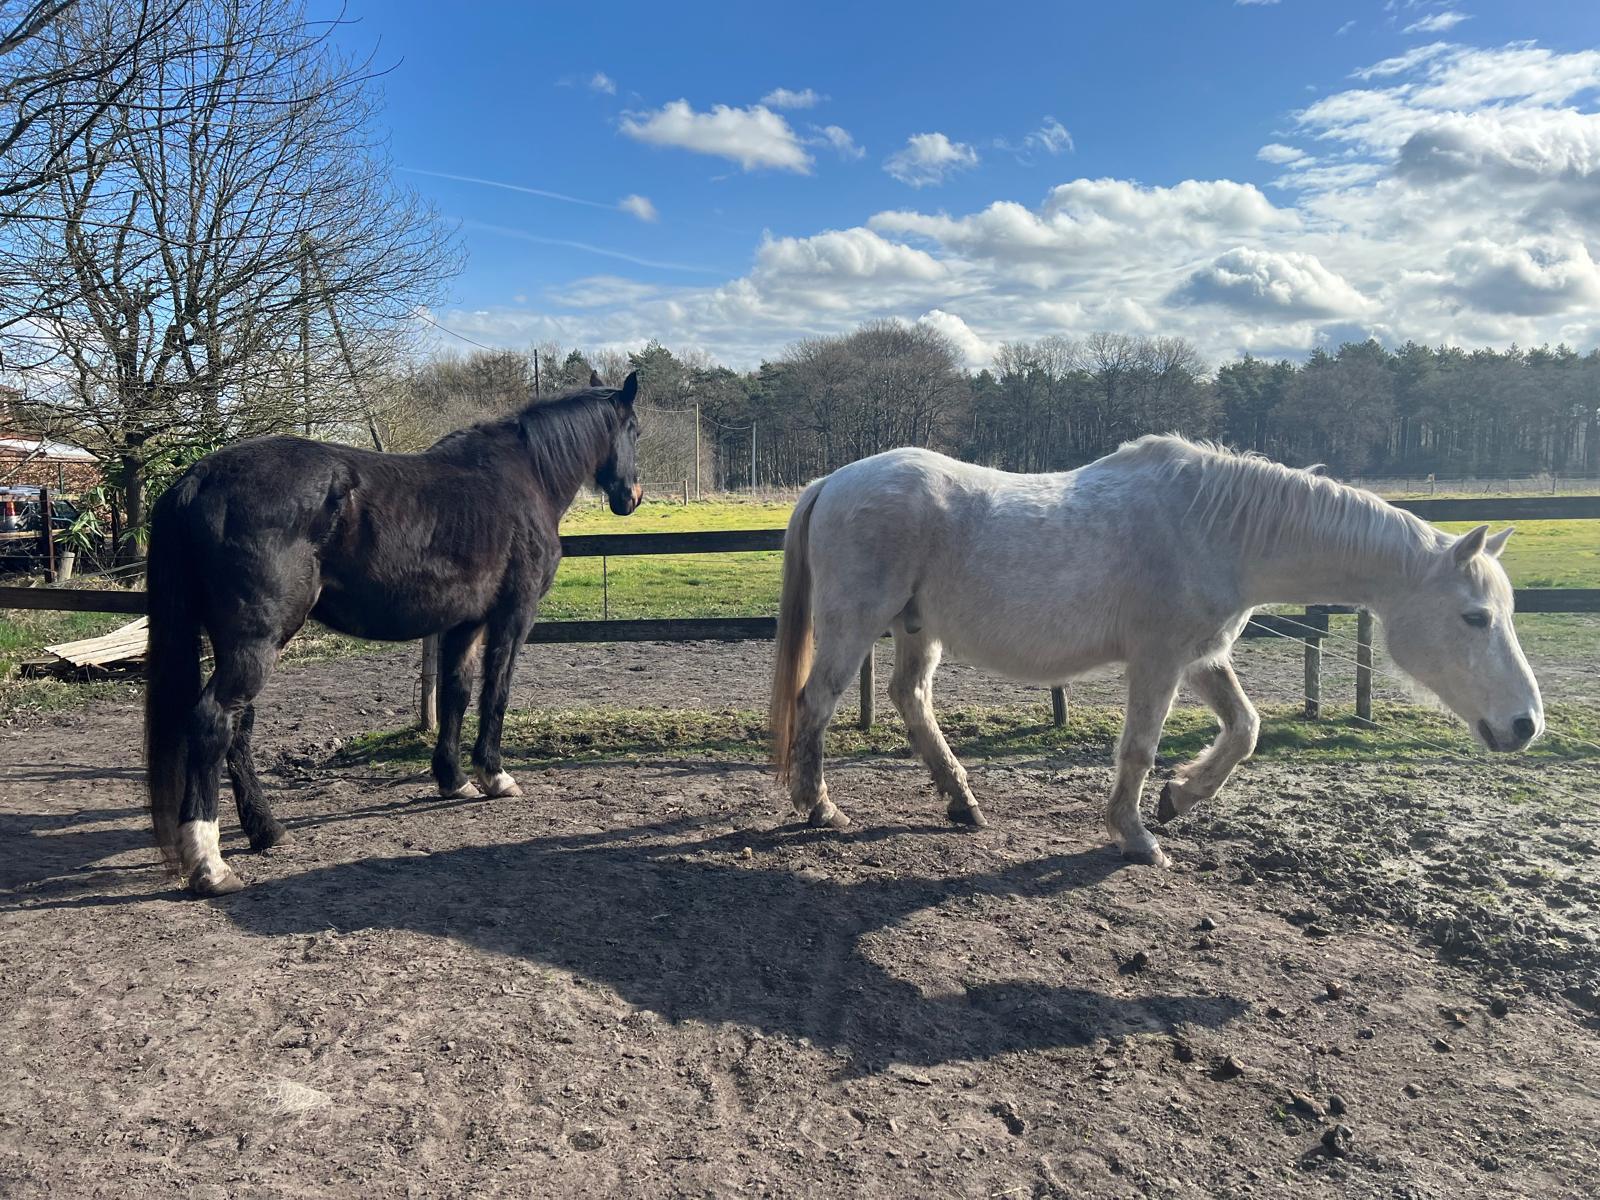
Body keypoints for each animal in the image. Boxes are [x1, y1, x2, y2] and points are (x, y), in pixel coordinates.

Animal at [145, 372, 642, 896]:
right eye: (635, 429)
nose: (632, 496)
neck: (525, 477)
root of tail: (199, 477)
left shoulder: (465, 622)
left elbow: (457, 693)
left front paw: (453, 778)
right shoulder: (513, 614)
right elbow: (497, 692)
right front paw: (494, 775)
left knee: (239, 726)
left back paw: (267, 830)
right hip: (255, 641)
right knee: (214, 720)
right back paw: (210, 864)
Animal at [769, 434, 1544, 867]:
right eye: (1475, 617)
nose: (1525, 725)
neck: (1215, 528)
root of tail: (833, 482)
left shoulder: (1202, 657)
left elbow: (1245, 729)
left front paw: (1179, 798)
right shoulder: (1159, 660)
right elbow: (1139, 748)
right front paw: (1137, 835)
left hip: (915, 629)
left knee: (910, 699)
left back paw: (962, 802)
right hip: (855, 623)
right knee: (818, 702)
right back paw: (820, 809)